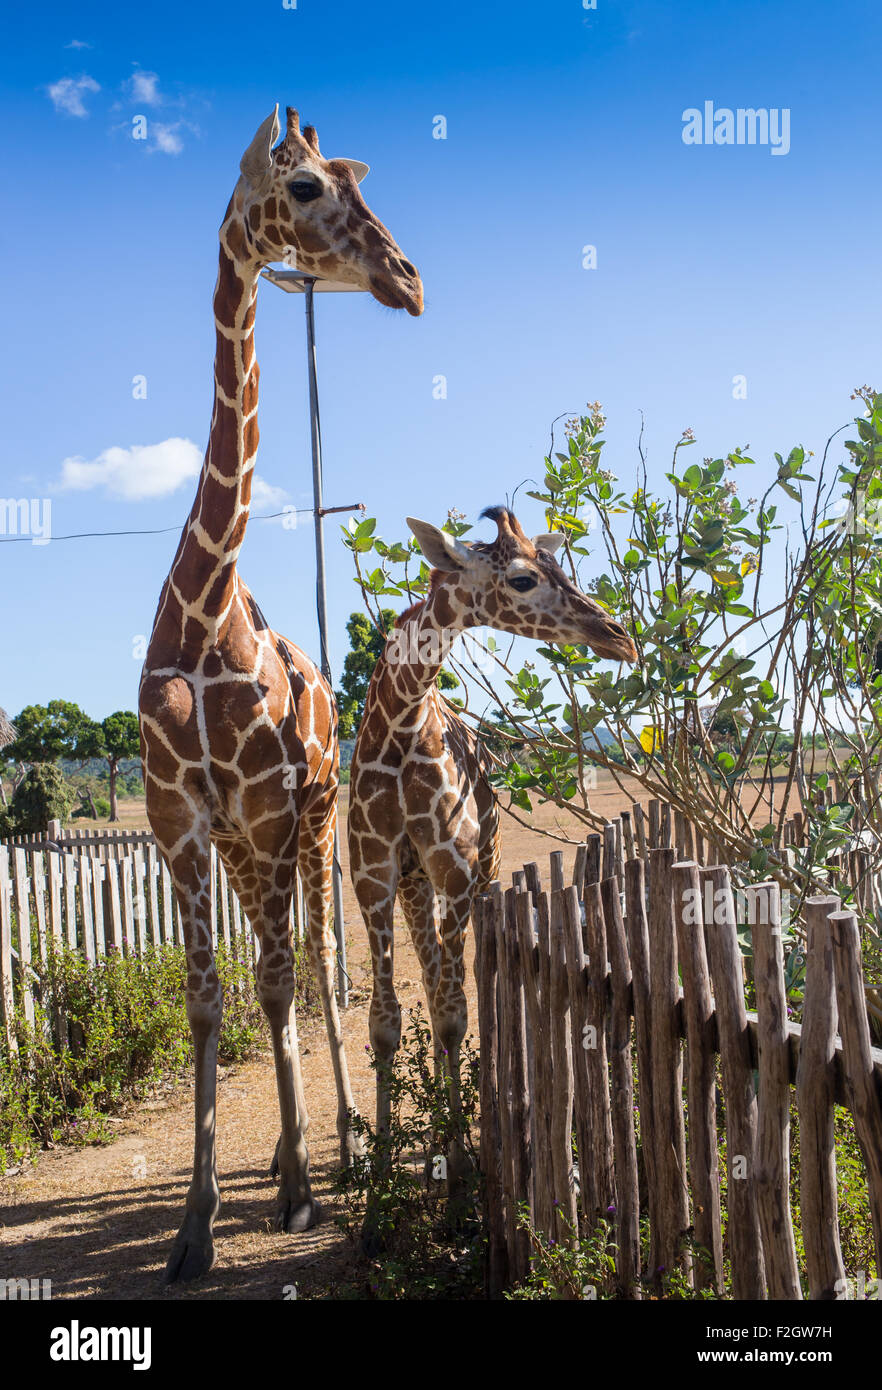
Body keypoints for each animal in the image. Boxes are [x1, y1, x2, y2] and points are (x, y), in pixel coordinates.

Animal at [348, 506, 637, 1194]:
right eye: (524, 578)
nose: (619, 636)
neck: (398, 723)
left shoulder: (455, 873)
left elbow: (454, 1016)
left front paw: (456, 1173)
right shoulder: (372, 876)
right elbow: (385, 1023)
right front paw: (379, 1187)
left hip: (477, 874)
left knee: (452, 990)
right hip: (414, 884)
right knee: (432, 981)